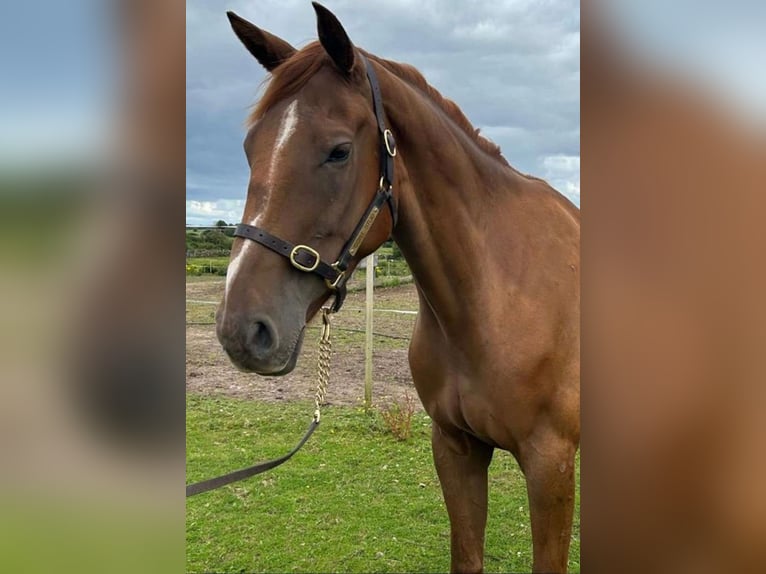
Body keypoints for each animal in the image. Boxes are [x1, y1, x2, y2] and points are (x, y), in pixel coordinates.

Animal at [213, 2, 580, 572]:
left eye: (339, 151)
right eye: (251, 148)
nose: (242, 330)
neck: (497, 299)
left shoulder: (551, 465)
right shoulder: (455, 448)